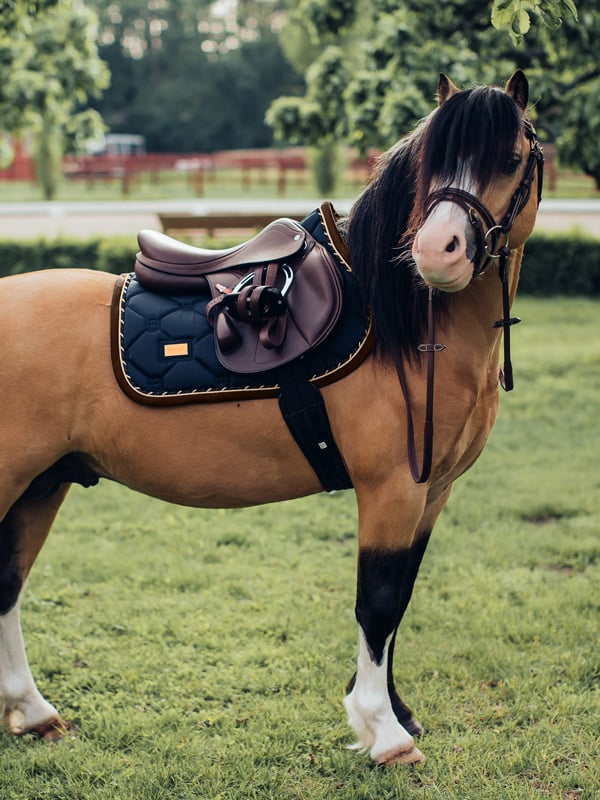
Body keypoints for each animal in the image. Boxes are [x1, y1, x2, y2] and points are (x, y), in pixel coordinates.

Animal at [0, 70, 543, 765]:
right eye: (433, 161)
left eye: (511, 157)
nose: (435, 252)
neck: (395, 325)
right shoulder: (392, 489)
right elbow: (377, 603)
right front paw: (383, 731)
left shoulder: (432, 493)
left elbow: (400, 600)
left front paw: (398, 714)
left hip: (42, 485)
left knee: (7, 586)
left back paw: (33, 711)